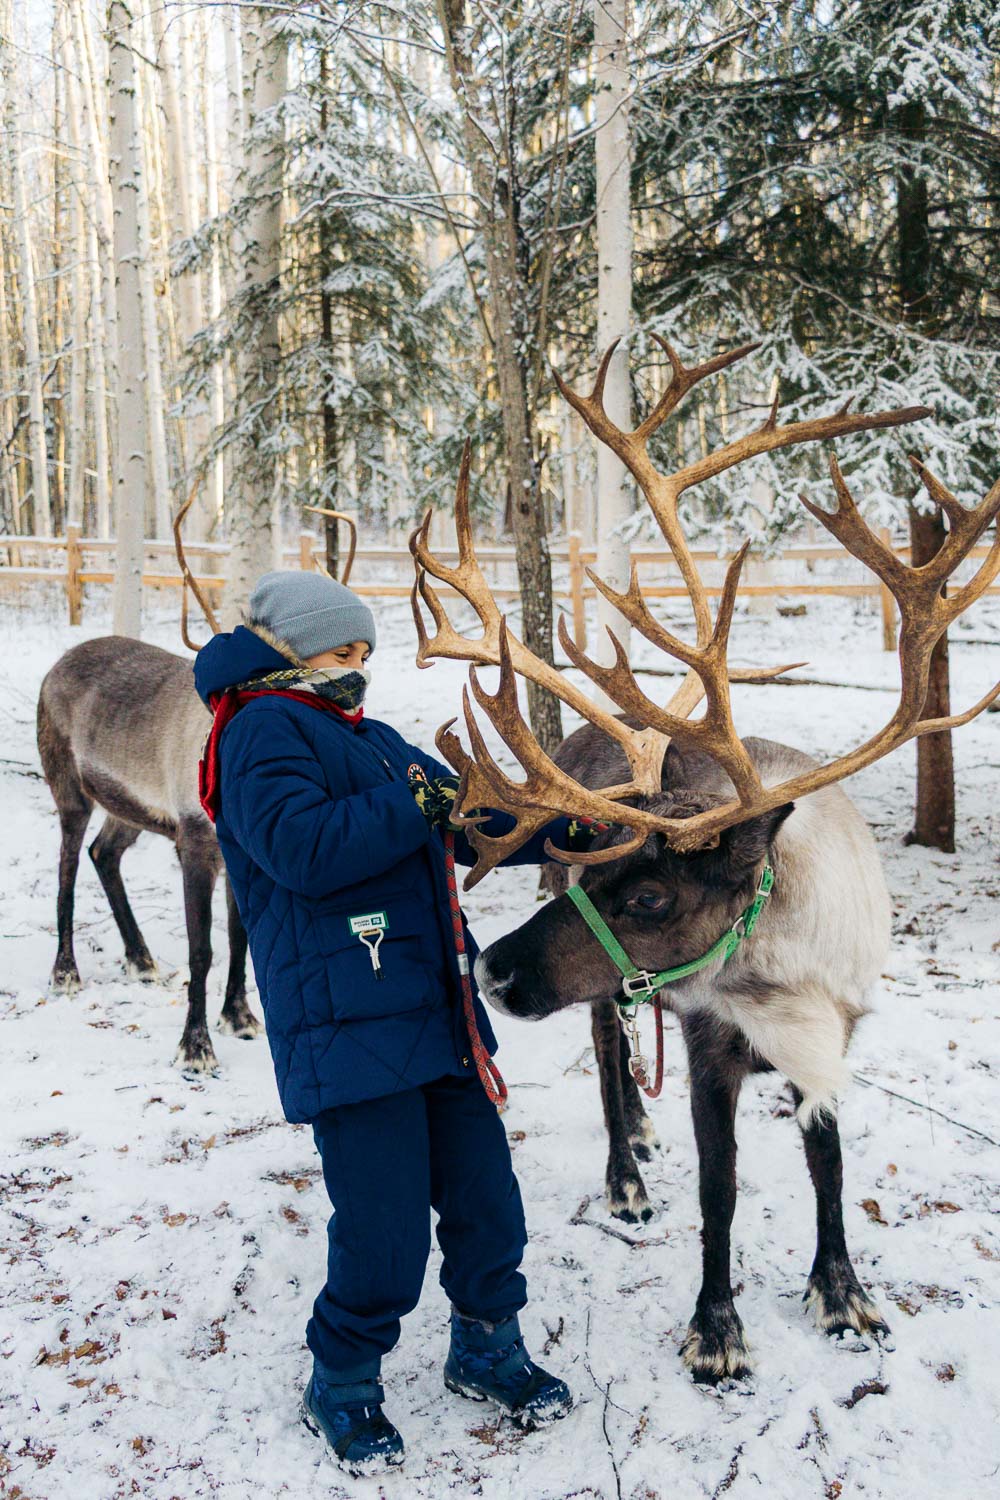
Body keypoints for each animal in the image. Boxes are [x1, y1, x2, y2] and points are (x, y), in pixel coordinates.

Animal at [35, 494, 357, 1074]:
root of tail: (55, 667)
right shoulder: (194, 843)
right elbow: (202, 950)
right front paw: (196, 1045)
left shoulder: (242, 860)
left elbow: (240, 939)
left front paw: (240, 1017)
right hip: (68, 786)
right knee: (69, 865)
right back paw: (66, 971)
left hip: (127, 808)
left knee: (103, 854)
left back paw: (140, 959)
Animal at [408, 336, 1000, 1384]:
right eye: (593, 872)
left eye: (651, 895)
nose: (494, 969)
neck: (773, 970)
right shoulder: (705, 1045)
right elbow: (718, 1190)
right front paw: (717, 1327)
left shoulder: (833, 1033)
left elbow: (828, 1164)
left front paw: (842, 1293)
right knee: (607, 1050)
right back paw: (626, 1169)